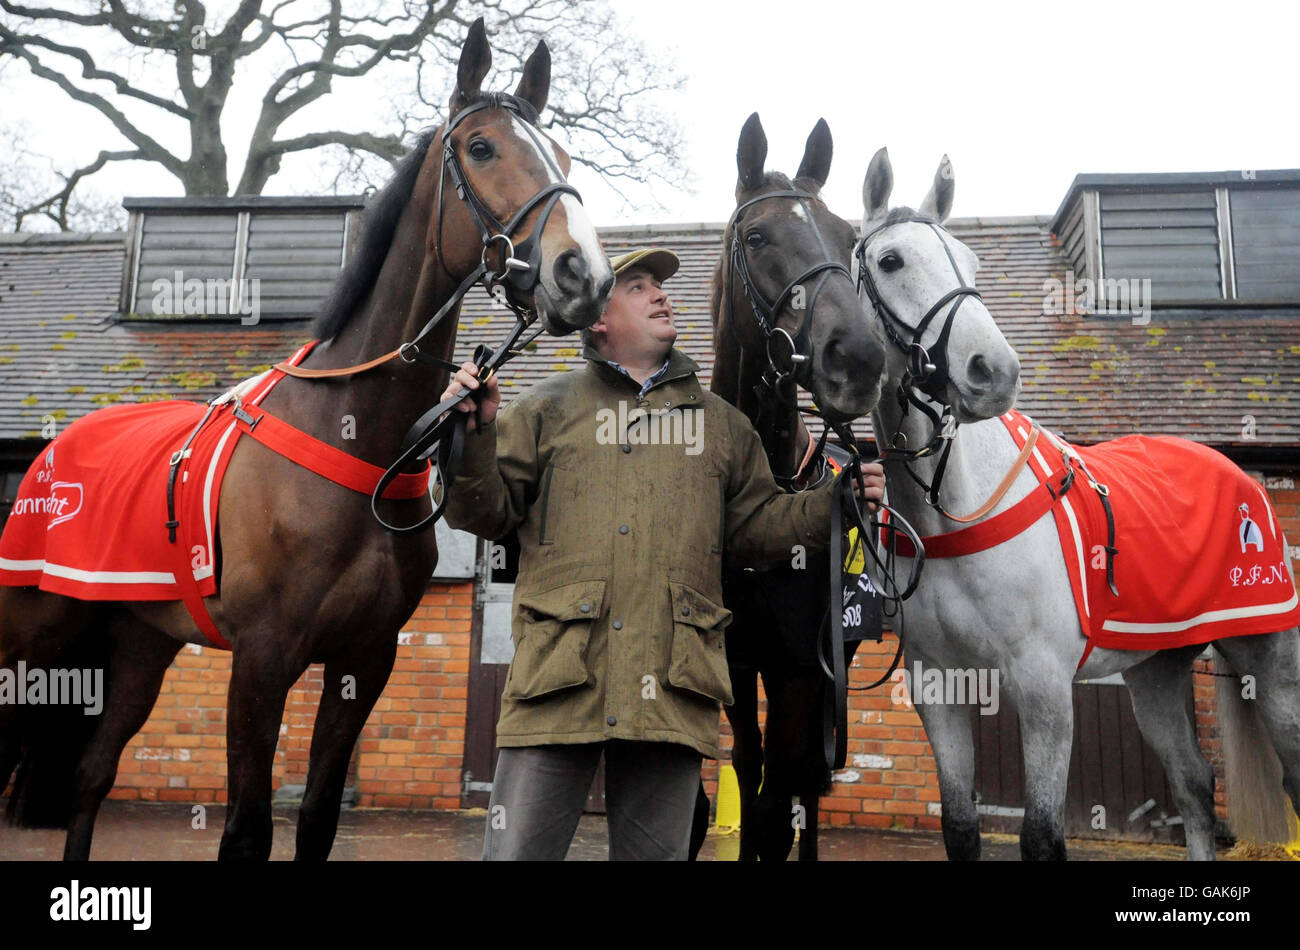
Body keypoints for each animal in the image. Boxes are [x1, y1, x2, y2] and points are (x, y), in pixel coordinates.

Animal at [0, 16, 611, 862]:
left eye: (564, 156)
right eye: (483, 147)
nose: (583, 277)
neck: (354, 438)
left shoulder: (364, 661)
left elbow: (319, 817)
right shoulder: (262, 662)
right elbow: (248, 829)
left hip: (140, 642)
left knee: (91, 778)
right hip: (30, 644)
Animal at [852, 148, 1300, 862]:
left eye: (971, 262)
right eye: (891, 260)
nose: (992, 371)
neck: (957, 513)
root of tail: (1242, 480)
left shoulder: (1043, 690)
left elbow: (1041, 838)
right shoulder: (938, 689)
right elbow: (960, 828)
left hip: (1272, 664)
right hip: (1155, 672)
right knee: (1194, 786)